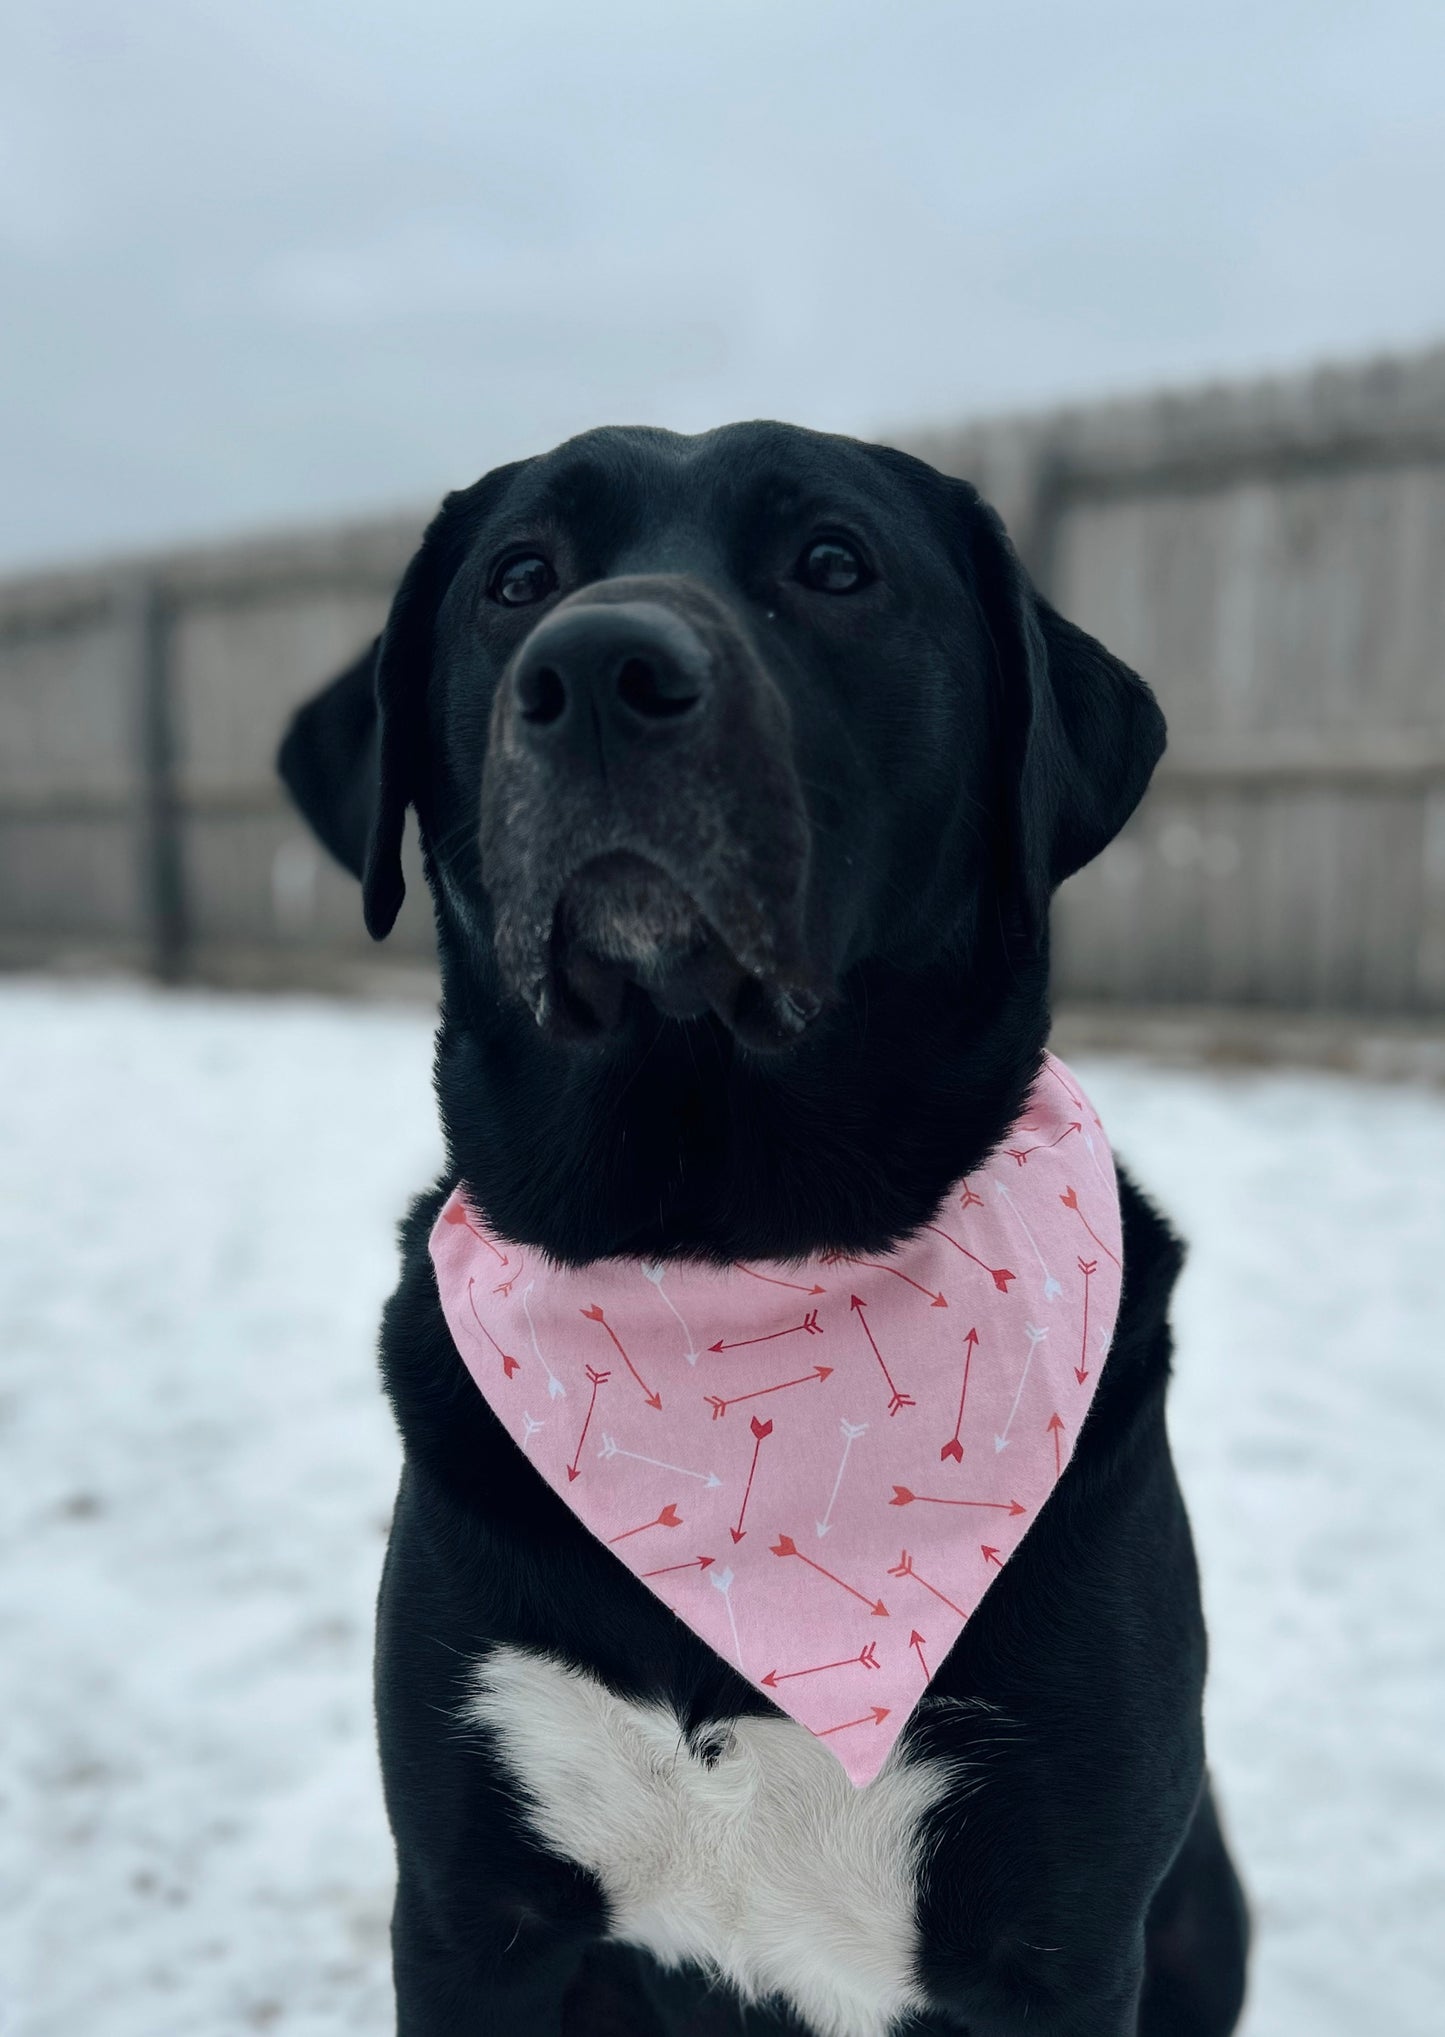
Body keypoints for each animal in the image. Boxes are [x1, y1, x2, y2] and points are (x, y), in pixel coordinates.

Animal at [277, 421, 1247, 2028]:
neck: (718, 1256)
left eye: (834, 562)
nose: (596, 668)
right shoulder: (472, 1906)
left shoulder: (1057, 1931)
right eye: (518, 576)